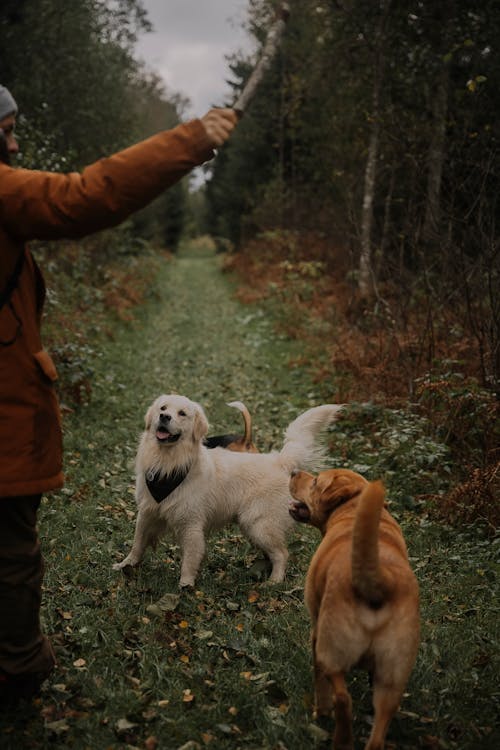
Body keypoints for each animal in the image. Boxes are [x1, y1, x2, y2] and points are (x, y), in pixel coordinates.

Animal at [290, 470, 418, 750]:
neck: (350, 508)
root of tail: (380, 581)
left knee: (342, 699)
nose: (293, 471)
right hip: (393, 678)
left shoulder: (316, 634)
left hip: (331, 652)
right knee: (378, 732)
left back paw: (341, 739)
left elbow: (320, 684)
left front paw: (320, 712)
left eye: (315, 481)